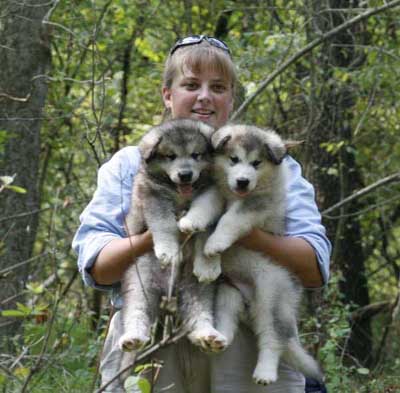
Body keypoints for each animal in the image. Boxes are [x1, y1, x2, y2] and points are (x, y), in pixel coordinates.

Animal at [180, 124, 324, 384]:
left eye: (257, 163)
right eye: (233, 159)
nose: (242, 181)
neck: (233, 194)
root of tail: (251, 301)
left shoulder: (258, 203)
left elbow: (230, 219)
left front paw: (215, 243)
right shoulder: (213, 191)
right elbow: (204, 209)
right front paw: (193, 227)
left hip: (273, 294)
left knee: (272, 338)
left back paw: (265, 371)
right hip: (229, 291)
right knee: (229, 319)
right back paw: (218, 338)